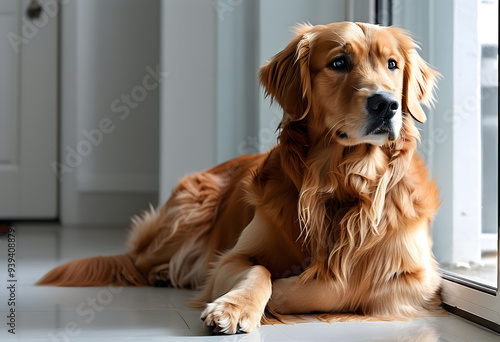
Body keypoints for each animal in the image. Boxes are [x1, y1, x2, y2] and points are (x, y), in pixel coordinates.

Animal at [39, 21, 442, 334]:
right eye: (339, 63)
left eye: (392, 64)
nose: (386, 104)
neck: (343, 181)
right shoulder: (233, 256)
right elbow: (261, 270)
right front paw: (234, 306)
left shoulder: (420, 278)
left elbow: (346, 285)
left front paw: (287, 289)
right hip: (192, 204)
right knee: (135, 260)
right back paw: (162, 272)